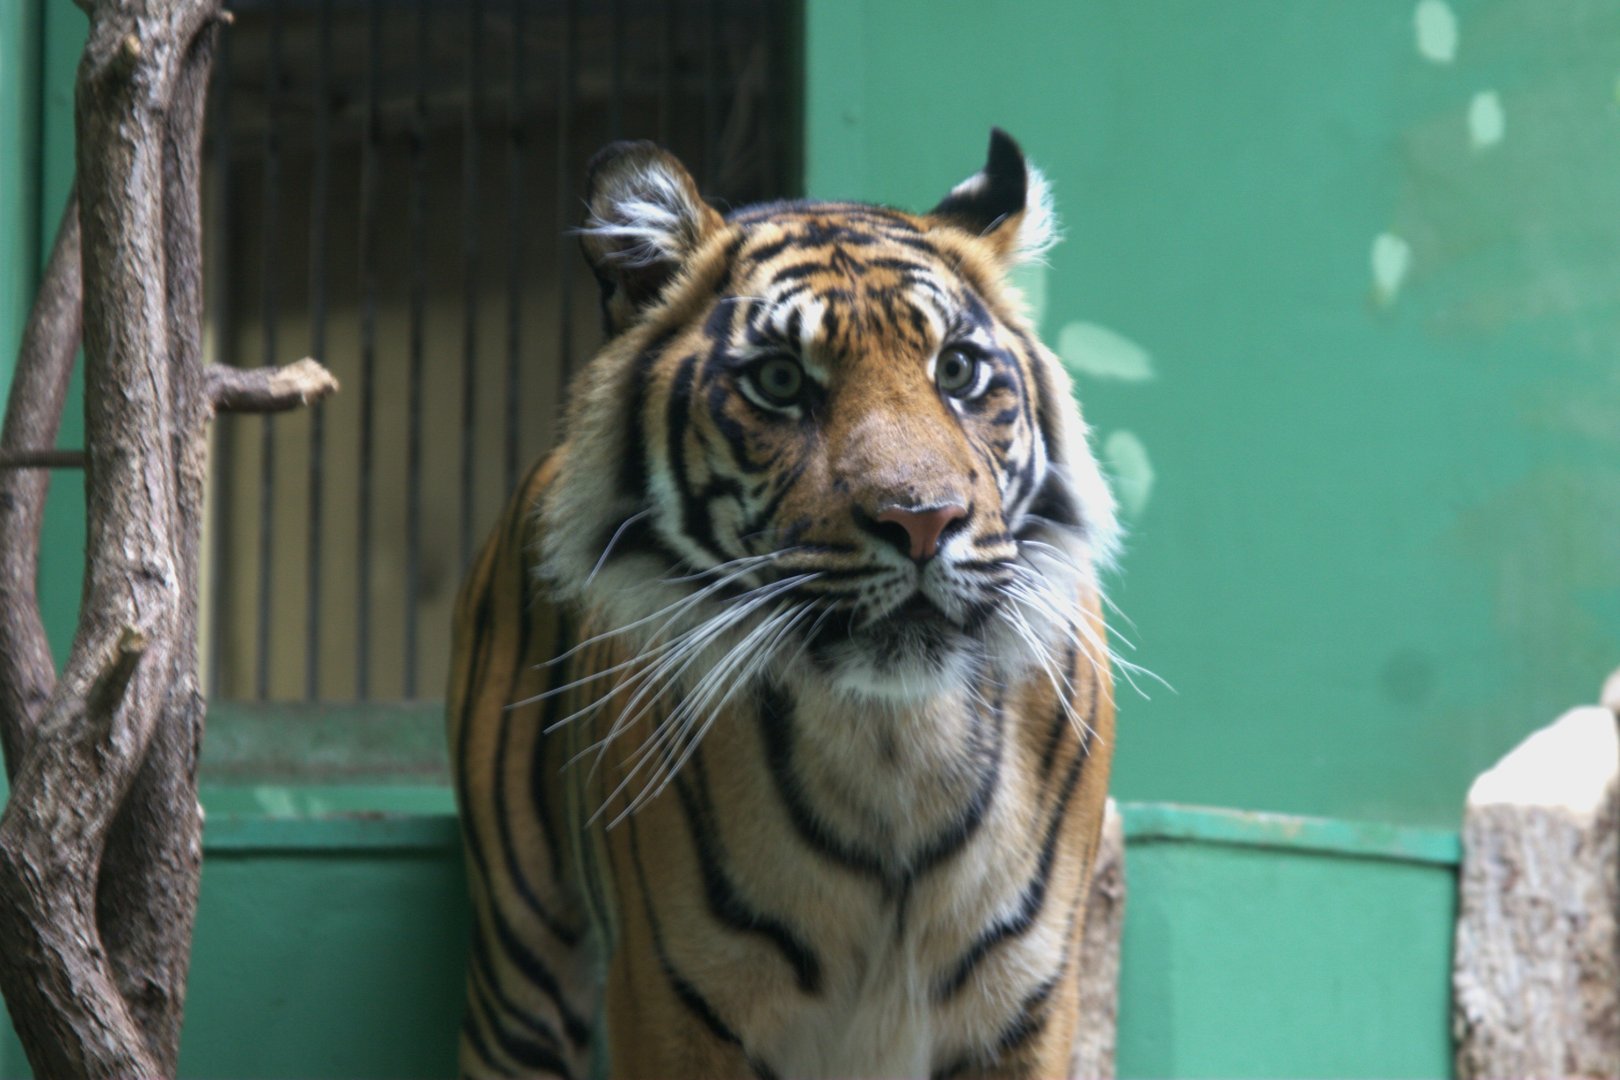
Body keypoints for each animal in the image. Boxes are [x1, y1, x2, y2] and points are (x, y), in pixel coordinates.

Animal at [447, 128, 1120, 1080]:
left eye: (956, 369)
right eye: (777, 381)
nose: (924, 520)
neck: (893, 743)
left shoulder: (1028, 999)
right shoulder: (674, 1000)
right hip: (522, 973)